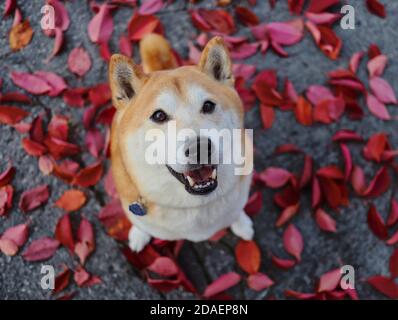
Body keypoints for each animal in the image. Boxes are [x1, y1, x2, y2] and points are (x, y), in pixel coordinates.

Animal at [107, 33, 253, 252]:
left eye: (208, 106)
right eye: (159, 116)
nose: (199, 148)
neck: (192, 204)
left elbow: (236, 210)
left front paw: (241, 223)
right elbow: (140, 223)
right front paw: (139, 234)